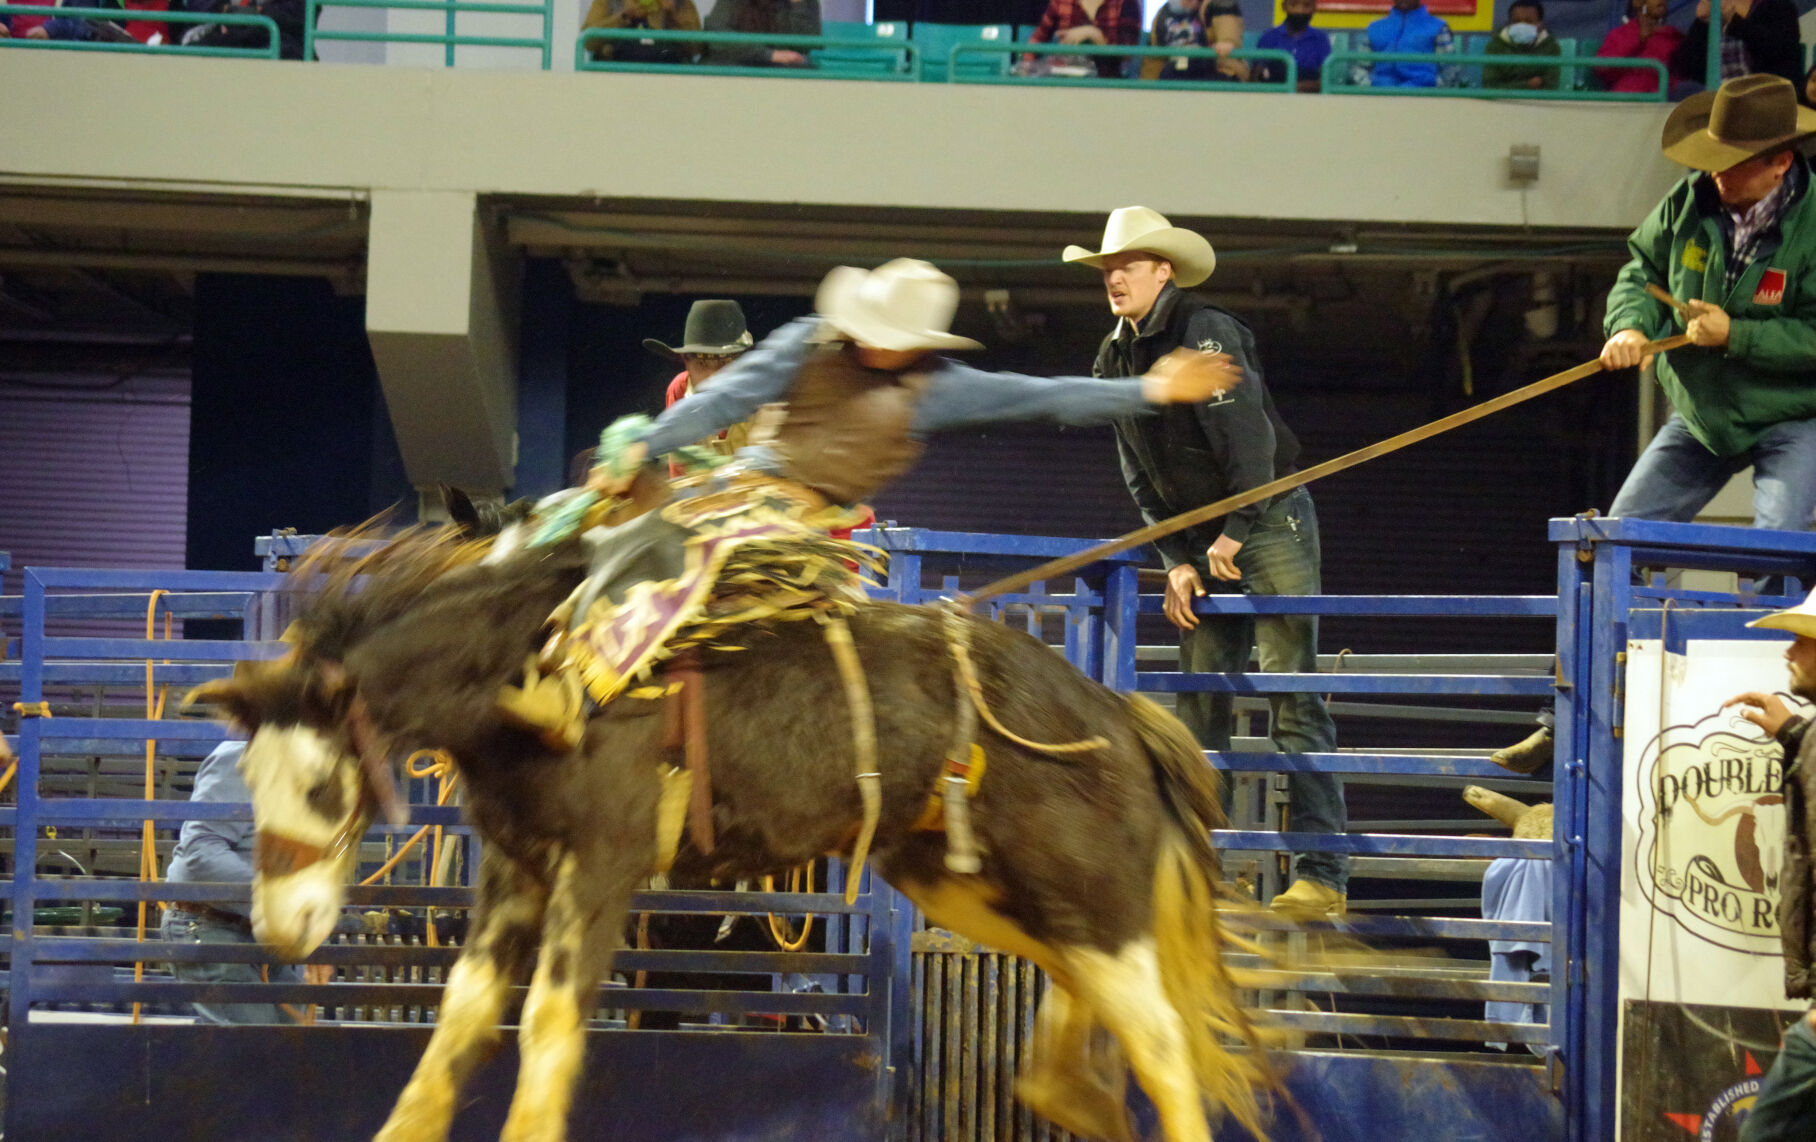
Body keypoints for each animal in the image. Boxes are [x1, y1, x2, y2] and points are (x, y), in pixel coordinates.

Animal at [191, 526, 1285, 1140]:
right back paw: (1074, 1092)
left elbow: (547, 1028)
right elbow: (454, 1034)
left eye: (323, 785)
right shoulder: (513, 871)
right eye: (250, 783)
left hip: (1080, 889)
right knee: (1079, 1003)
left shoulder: (602, 866)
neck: (531, 669)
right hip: (970, 880)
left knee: (1160, 1042)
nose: (281, 929)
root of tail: (1113, 710)